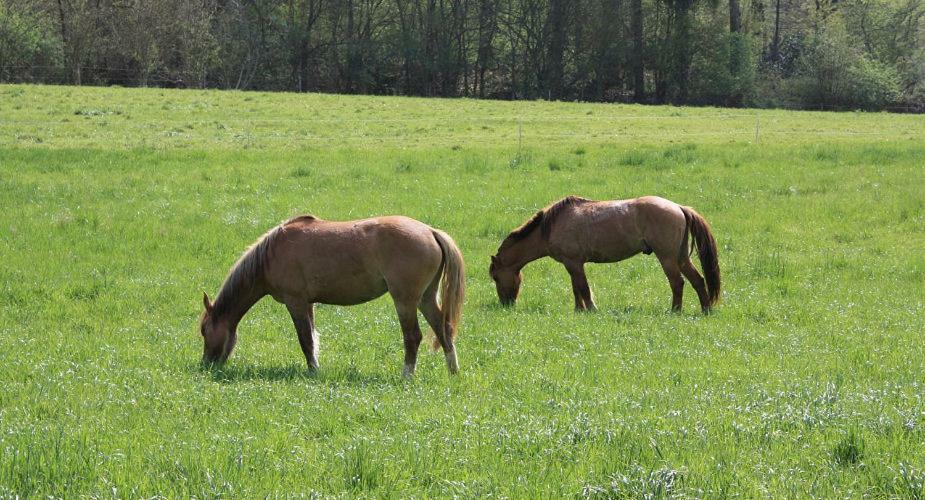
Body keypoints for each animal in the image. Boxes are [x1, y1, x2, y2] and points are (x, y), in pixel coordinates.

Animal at [199, 213, 466, 376]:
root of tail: (430, 231)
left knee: (413, 336)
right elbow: (312, 338)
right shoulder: (308, 304)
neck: (270, 255)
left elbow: (305, 339)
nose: (206, 365)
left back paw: (406, 375)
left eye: (204, 331)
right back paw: (453, 372)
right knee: (443, 330)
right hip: (425, 298)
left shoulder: (295, 302)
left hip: (405, 300)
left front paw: (313, 372)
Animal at [488, 195, 720, 312]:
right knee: (698, 280)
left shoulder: (574, 263)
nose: (506, 304)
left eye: (496, 277)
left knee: (677, 283)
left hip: (667, 258)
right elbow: (576, 289)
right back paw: (705, 309)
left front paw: (591, 309)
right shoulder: (572, 265)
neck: (550, 226)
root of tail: (678, 207)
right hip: (681, 257)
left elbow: (583, 288)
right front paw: (579, 310)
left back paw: (675, 311)